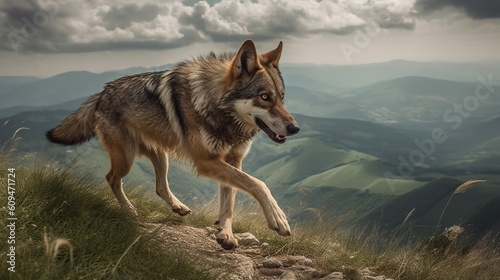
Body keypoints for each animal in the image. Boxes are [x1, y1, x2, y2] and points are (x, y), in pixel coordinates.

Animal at [47, 40, 298, 249]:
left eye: (282, 97)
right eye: (264, 97)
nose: (295, 128)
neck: (217, 106)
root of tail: (101, 93)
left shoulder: (233, 160)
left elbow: (231, 198)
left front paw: (225, 234)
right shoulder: (206, 162)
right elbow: (258, 183)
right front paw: (278, 218)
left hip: (161, 156)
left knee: (159, 186)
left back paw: (178, 207)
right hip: (127, 158)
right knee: (112, 178)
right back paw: (129, 210)